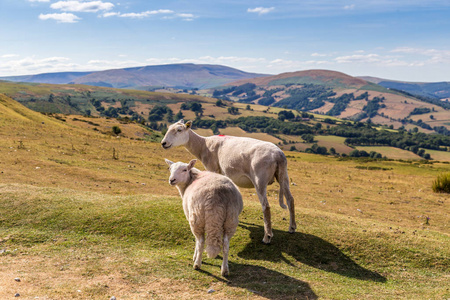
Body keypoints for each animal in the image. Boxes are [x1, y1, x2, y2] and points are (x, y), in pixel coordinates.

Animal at [160, 119, 298, 244]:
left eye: (179, 130)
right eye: (168, 128)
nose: (163, 143)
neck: (202, 145)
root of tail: (278, 155)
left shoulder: (212, 167)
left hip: (260, 178)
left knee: (266, 206)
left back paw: (267, 237)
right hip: (283, 175)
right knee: (290, 199)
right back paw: (292, 228)